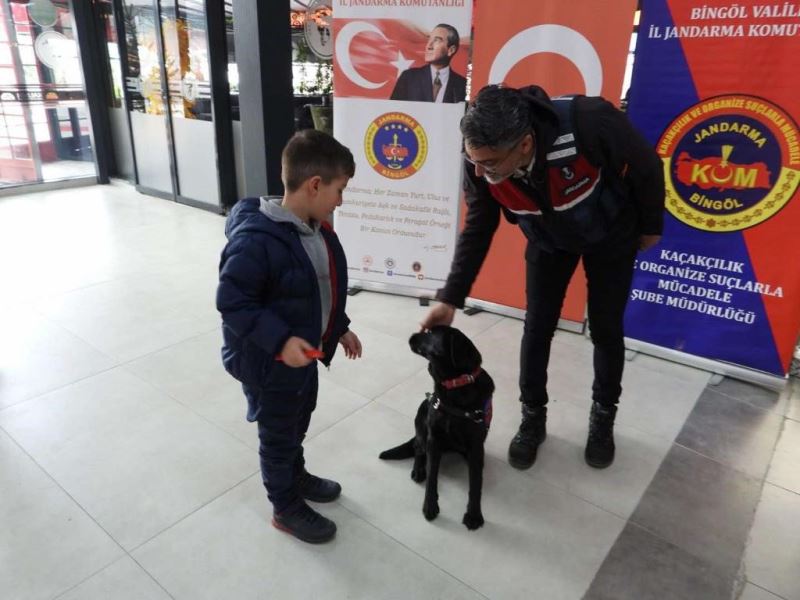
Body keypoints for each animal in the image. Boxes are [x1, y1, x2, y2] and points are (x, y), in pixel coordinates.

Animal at [380, 328, 494, 528]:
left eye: (430, 332)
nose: (411, 335)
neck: (455, 386)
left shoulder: (476, 446)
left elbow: (475, 482)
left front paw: (474, 514)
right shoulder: (434, 439)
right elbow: (432, 476)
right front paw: (430, 506)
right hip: (422, 419)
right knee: (418, 449)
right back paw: (418, 470)